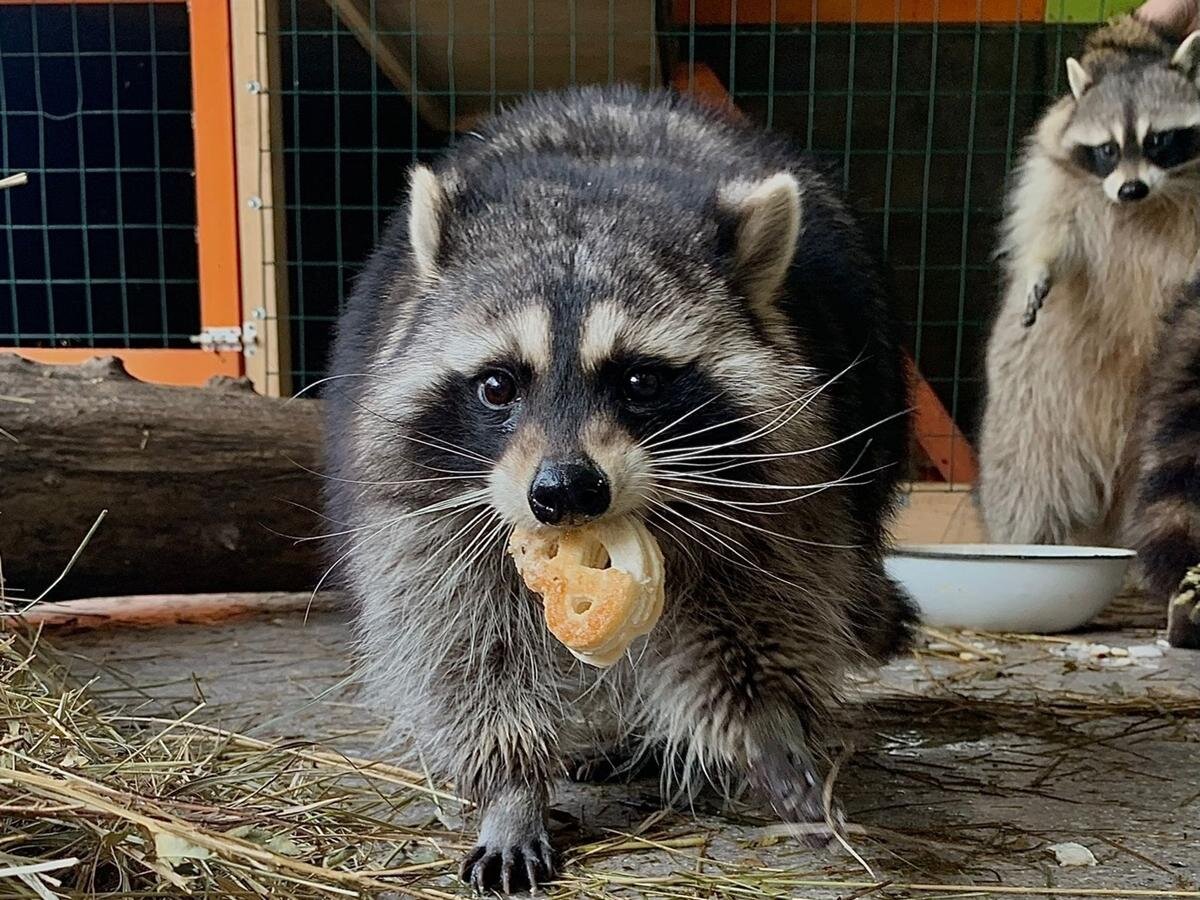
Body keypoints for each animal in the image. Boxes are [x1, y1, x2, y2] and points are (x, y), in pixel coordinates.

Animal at [324, 86, 912, 897]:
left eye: (640, 381)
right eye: (498, 385)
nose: (565, 491)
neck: (597, 181)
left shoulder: (783, 485)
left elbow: (749, 612)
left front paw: (767, 728)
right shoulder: (428, 501)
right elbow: (462, 638)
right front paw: (511, 789)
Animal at [979, 17, 1200, 547]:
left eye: (1159, 141)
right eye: (1107, 149)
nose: (1131, 188)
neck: (1146, 206)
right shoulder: (1057, 182)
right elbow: (1053, 234)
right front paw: (1040, 267)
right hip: (1032, 412)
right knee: (1030, 489)